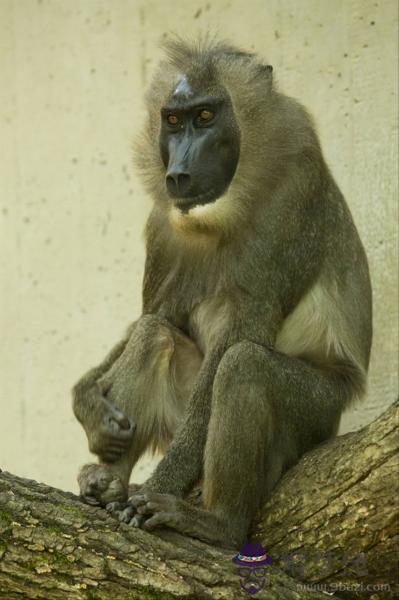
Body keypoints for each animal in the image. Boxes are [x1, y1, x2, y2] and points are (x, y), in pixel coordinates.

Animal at [71, 38, 372, 552]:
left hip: (317, 413)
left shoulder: (293, 194)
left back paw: (216, 522)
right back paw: (109, 482)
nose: (179, 172)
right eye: (173, 120)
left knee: (243, 365)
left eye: (207, 116)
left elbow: (240, 338)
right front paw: (88, 403)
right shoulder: (162, 226)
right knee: (155, 334)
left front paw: (156, 490)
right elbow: (155, 315)